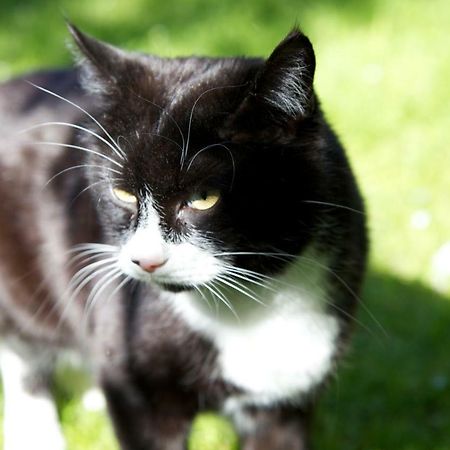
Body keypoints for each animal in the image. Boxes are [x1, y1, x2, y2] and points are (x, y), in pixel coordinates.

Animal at [0, 24, 368, 450]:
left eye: (204, 198)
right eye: (123, 193)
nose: (146, 259)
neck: (251, 307)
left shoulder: (290, 395)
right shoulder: (138, 390)